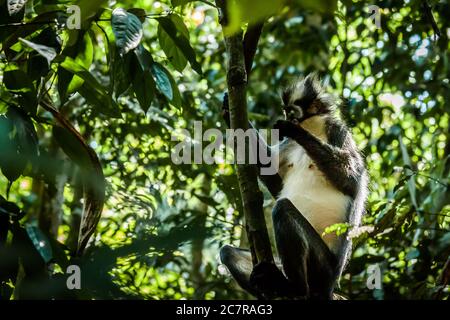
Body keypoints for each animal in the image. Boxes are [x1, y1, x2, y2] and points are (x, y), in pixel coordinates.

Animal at [219, 74, 370, 298]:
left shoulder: (338, 131)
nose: (288, 119)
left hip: (322, 269)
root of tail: (329, 288)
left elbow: (351, 180)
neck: (314, 128)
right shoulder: (289, 145)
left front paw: (293, 129)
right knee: (227, 252)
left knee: (282, 208)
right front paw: (227, 109)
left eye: (291, 112)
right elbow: (270, 174)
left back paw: (293, 287)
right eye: (285, 110)